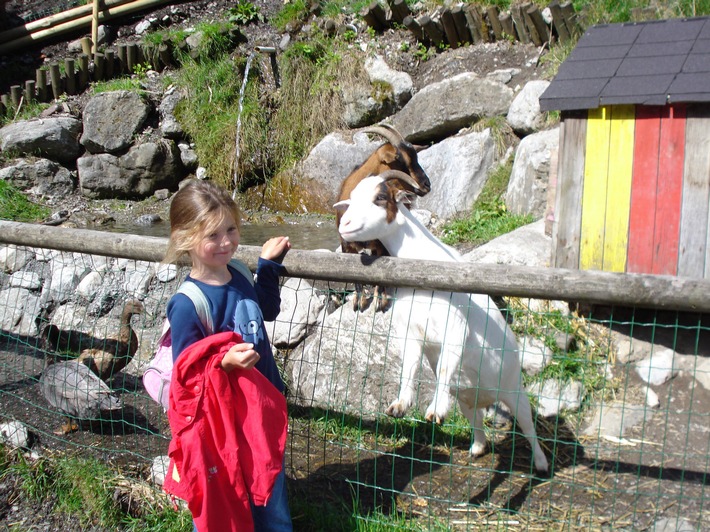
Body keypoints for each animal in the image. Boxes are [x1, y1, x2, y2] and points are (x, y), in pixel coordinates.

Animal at [334, 170, 552, 474]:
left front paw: (436, 410)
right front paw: (400, 405)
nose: (346, 224)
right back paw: (477, 448)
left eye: (380, 197)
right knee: (476, 419)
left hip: (513, 388)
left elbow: (447, 365)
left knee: (528, 423)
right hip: (468, 399)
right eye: (352, 198)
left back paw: (541, 463)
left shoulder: (456, 327)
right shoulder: (411, 330)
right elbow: (410, 367)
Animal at [336, 123, 432, 314]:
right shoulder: (346, 245)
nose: (427, 185)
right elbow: (353, 273)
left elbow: (382, 274)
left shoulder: (382, 245)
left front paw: (380, 302)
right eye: (400, 160)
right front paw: (358, 302)